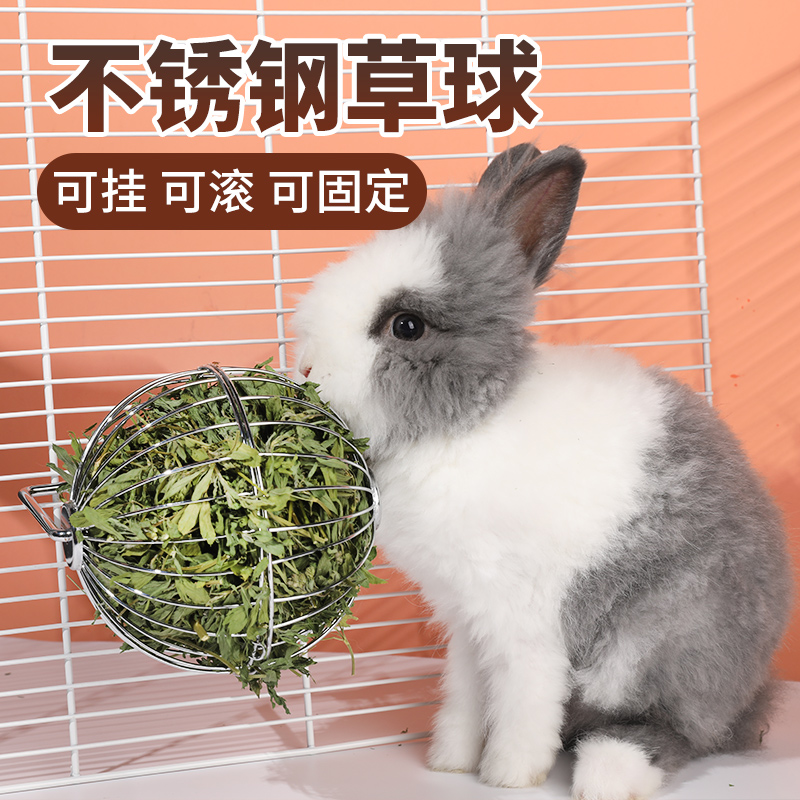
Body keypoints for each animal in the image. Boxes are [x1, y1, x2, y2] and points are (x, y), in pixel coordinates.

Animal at [291, 142, 794, 799]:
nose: (305, 369)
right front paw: (449, 762)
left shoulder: (524, 624)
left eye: (406, 325)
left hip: (656, 644)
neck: (469, 421)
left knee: (676, 729)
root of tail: (752, 692)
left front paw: (507, 775)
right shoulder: (466, 623)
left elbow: (523, 703)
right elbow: (465, 698)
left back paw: (606, 774)